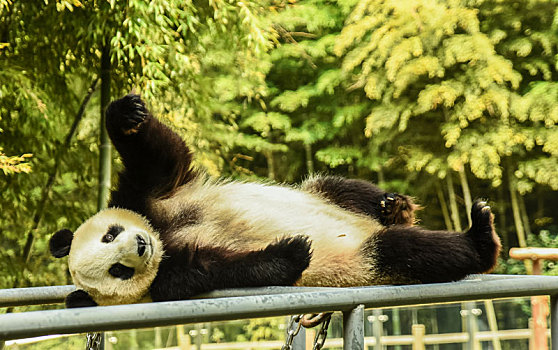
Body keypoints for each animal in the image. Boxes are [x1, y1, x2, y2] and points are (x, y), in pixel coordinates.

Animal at [48, 94, 504, 308]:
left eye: (111, 235)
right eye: (119, 270)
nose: (141, 246)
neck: (165, 236)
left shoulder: (149, 200)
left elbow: (164, 160)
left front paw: (125, 116)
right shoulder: (169, 281)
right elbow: (227, 270)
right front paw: (291, 251)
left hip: (322, 190)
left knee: (341, 187)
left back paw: (396, 208)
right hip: (360, 260)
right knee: (401, 252)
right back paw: (480, 240)